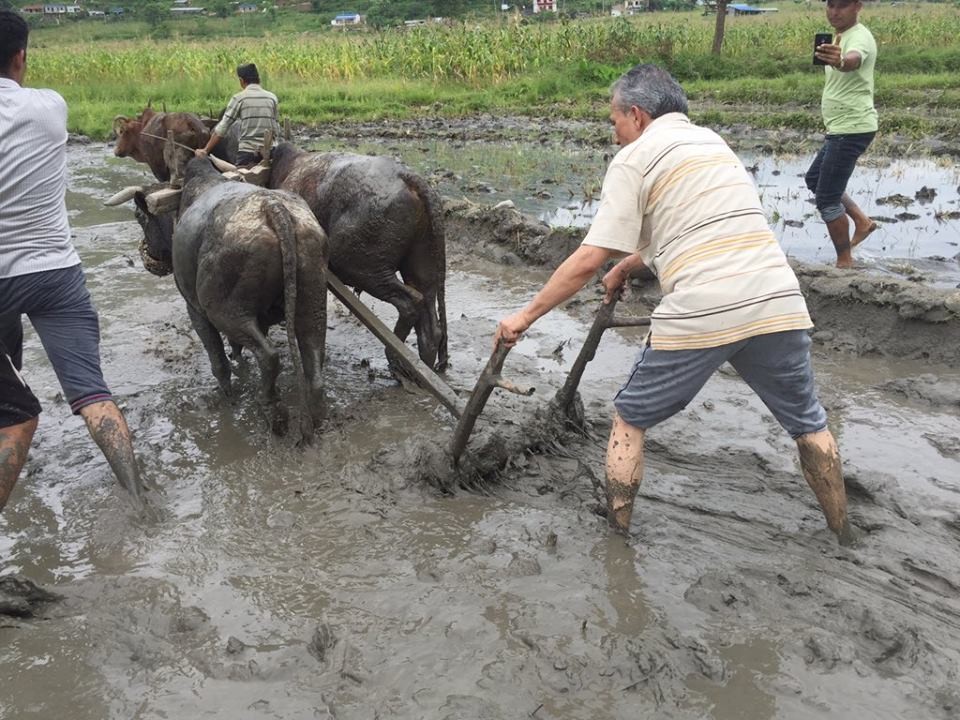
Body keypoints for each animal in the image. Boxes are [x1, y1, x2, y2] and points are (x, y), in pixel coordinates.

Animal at [133, 157, 330, 438]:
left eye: (139, 217)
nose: (149, 256)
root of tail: (274, 208)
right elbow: (236, 349)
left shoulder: (194, 309)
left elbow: (218, 360)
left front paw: (225, 395)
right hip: (312, 303)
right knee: (313, 358)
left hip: (225, 312)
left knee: (269, 356)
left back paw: (272, 409)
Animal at [270, 143, 450, 374]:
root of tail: (407, 177)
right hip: (421, 265)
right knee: (429, 321)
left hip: (362, 268)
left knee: (410, 303)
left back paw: (395, 358)